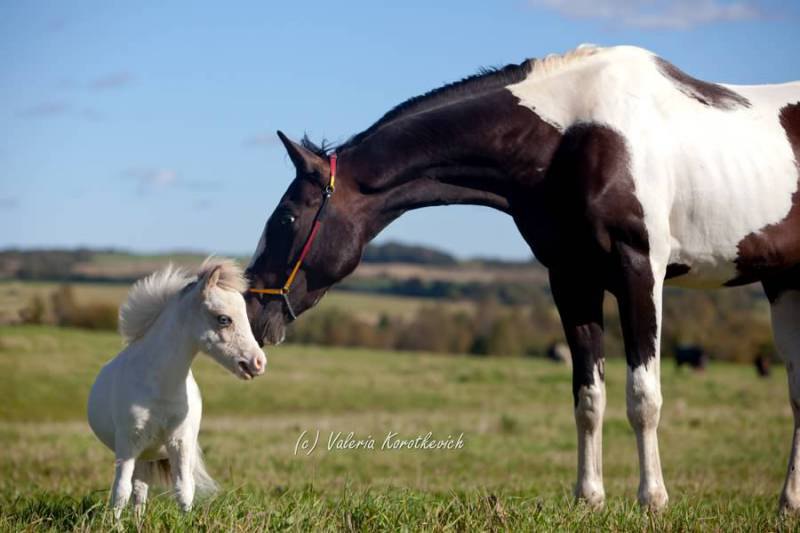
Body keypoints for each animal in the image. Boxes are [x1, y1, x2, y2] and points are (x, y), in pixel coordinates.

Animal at [88, 258, 266, 516]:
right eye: (224, 319)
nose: (258, 363)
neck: (161, 386)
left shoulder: (180, 443)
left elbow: (184, 490)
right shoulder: (128, 444)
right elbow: (120, 492)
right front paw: (114, 523)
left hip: (149, 456)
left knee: (141, 490)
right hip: (141, 454)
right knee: (136, 490)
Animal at [245, 45, 800, 512]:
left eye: (286, 218)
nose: (251, 309)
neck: (577, 137)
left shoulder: (639, 271)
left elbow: (643, 397)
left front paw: (653, 500)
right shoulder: (572, 279)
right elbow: (588, 397)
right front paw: (589, 498)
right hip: (785, 284)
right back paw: (787, 504)